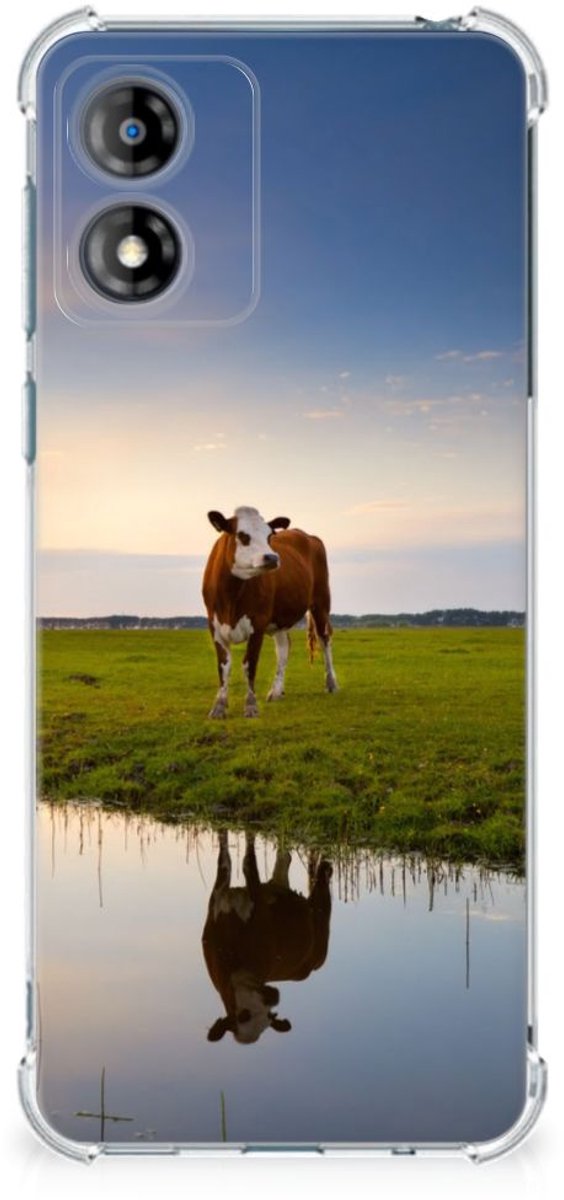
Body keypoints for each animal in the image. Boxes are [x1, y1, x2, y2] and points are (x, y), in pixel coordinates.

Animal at [202, 506, 338, 718]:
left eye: (269, 536)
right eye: (242, 535)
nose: (272, 557)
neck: (231, 596)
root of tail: (307, 535)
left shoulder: (257, 624)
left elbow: (249, 664)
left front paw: (250, 706)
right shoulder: (214, 626)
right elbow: (224, 666)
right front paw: (219, 706)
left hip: (321, 602)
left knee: (325, 639)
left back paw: (331, 683)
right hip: (280, 619)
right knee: (284, 647)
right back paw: (276, 691)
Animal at [202, 830, 332, 1044]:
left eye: (269, 1016)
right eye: (242, 1015)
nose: (274, 997)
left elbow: (248, 862)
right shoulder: (218, 897)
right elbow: (225, 859)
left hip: (321, 917)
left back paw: (326, 867)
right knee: (284, 858)